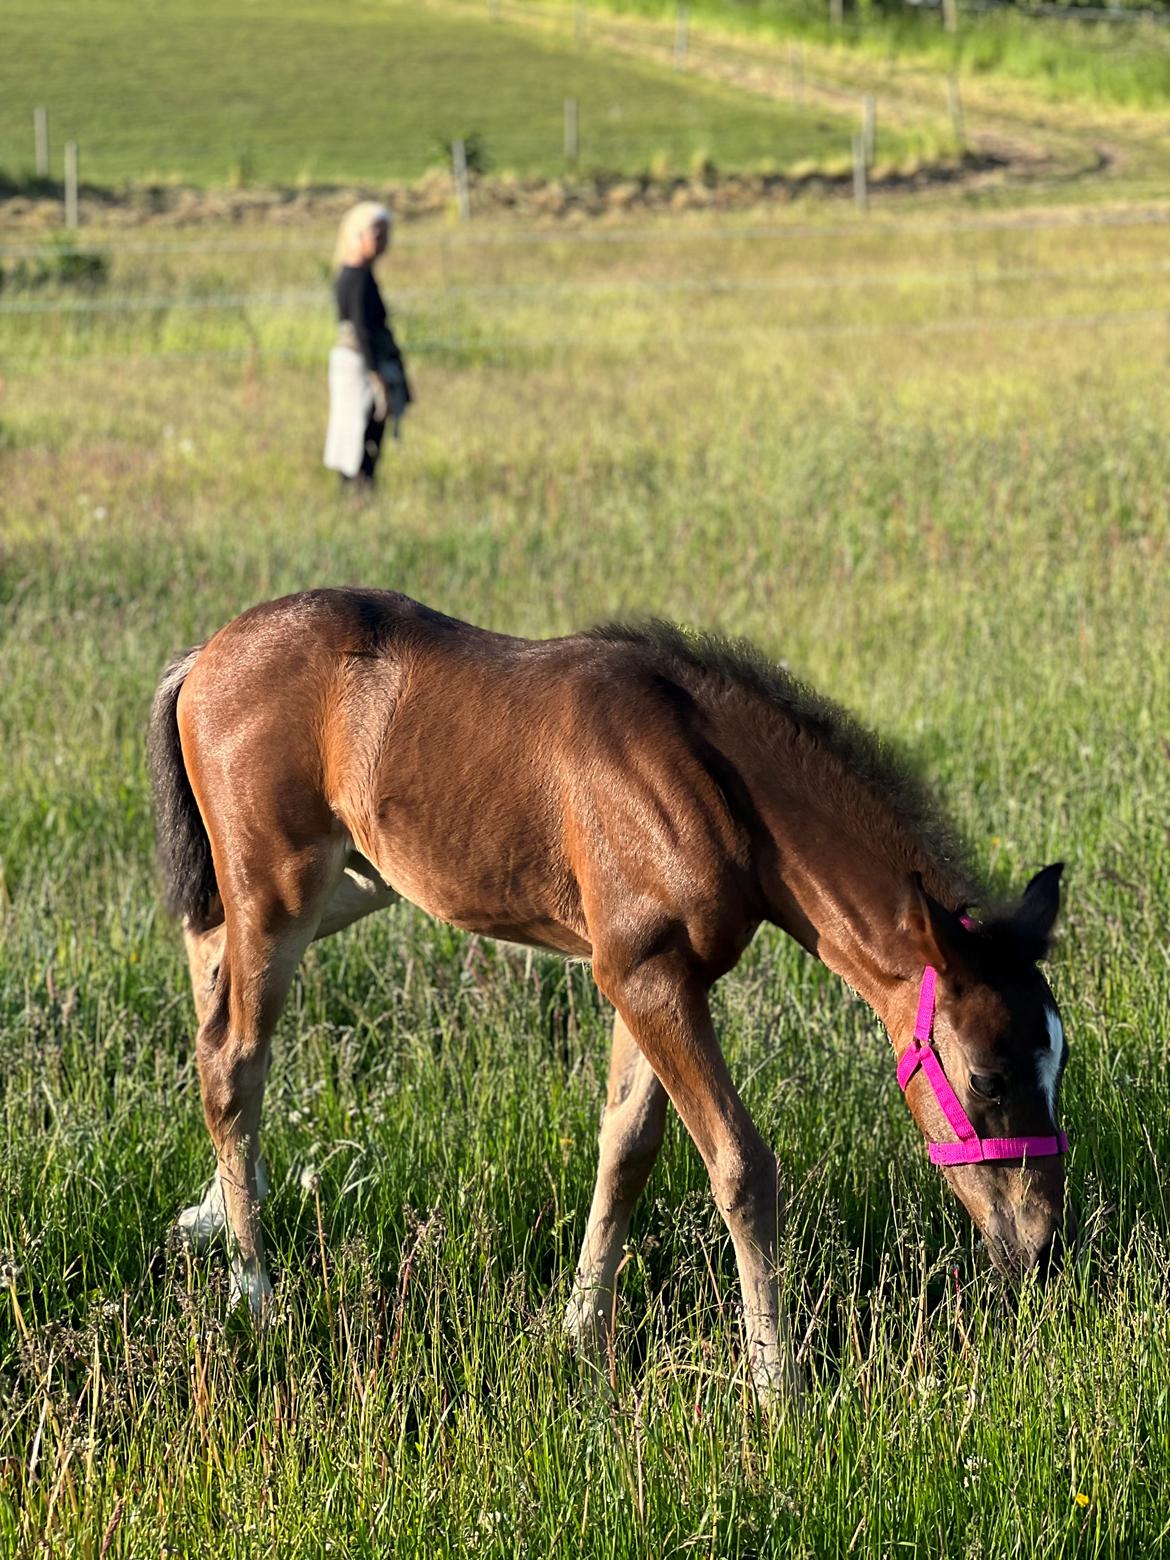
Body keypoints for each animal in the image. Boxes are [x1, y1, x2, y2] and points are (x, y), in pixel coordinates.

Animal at [148, 588, 1070, 1399]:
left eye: (1058, 1063)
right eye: (987, 1078)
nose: (1042, 1248)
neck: (714, 780)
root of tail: (204, 656)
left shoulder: (650, 977)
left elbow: (626, 1147)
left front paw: (580, 1335)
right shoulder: (646, 975)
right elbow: (740, 1165)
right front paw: (778, 1386)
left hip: (347, 883)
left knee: (207, 977)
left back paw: (211, 1216)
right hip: (279, 894)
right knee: (233, 1060)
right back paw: (257, 1295)